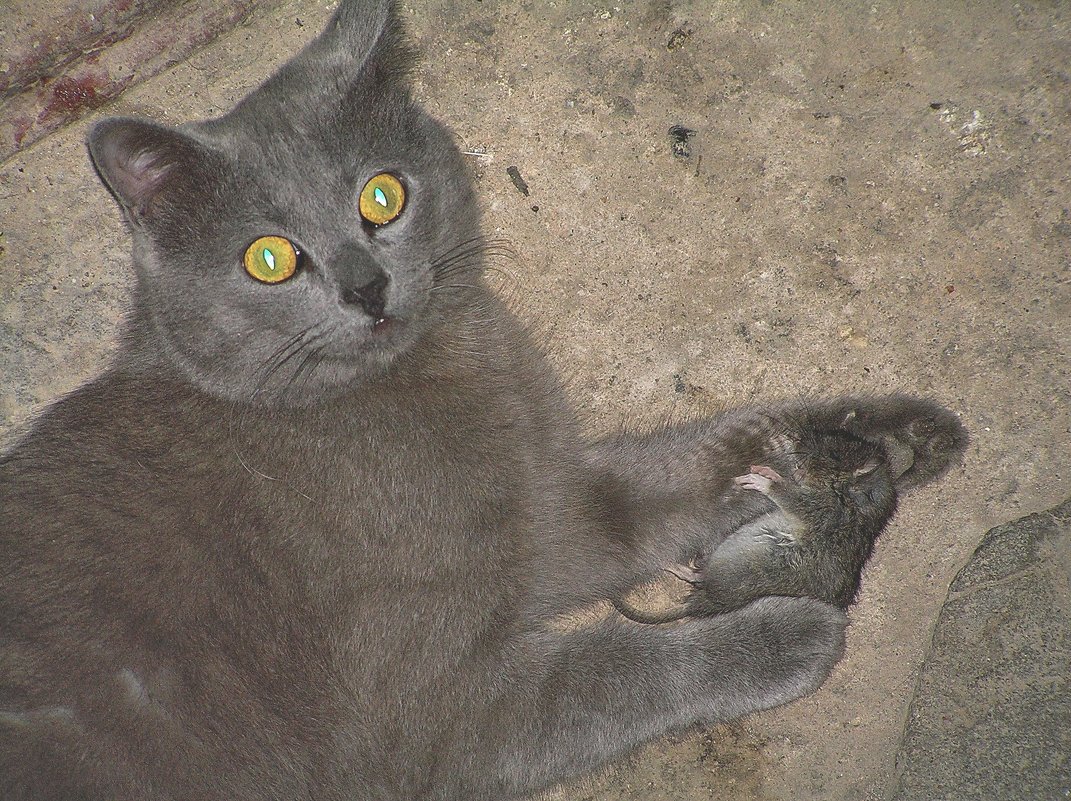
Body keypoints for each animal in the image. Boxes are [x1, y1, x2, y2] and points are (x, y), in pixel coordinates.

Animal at [0, 3, 968, 796]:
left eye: (381, 194)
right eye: (267, 258)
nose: (365, 286)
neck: (439, 379)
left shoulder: (558, 504)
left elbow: (697, 457)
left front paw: (884, 441)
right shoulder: (433, 711)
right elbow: (611, 669)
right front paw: (785, 632)